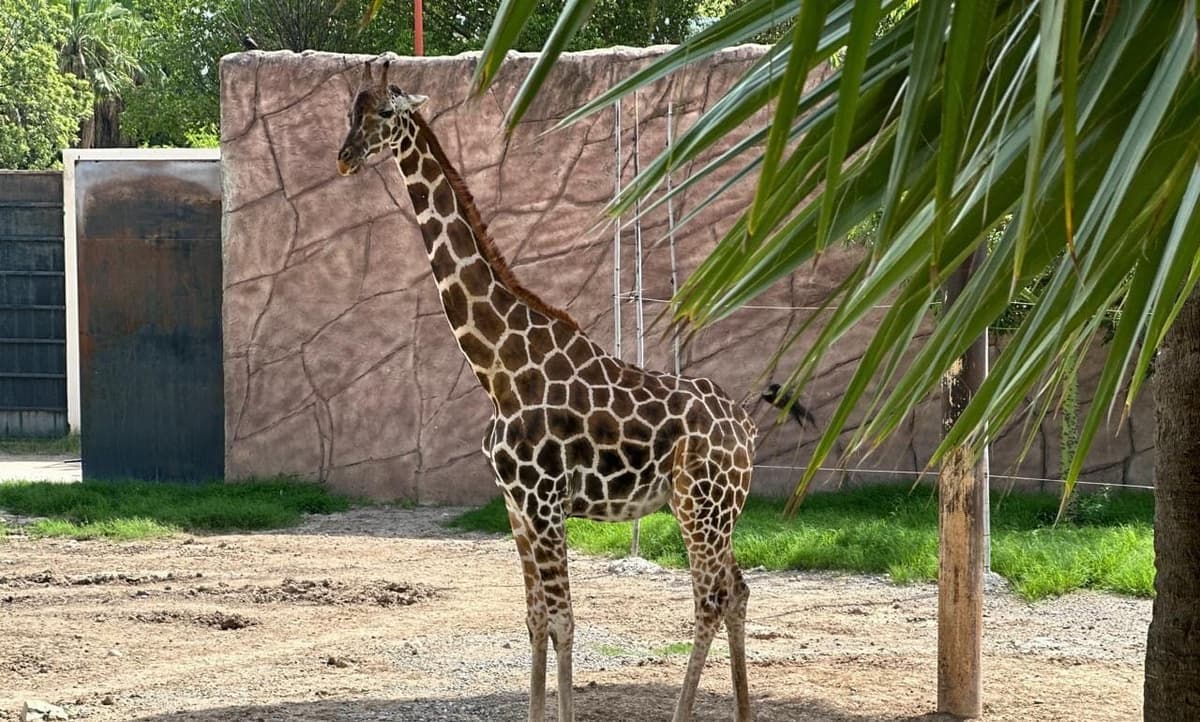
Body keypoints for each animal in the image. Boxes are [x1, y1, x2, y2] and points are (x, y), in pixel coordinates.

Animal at [335, 58, 757, 722]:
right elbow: (535, 620)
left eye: (383, 112)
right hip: (716, 510)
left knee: (711, 597)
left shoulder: (544, 501)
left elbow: (563, 622)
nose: (346, 157)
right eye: (348, 112)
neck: (499, 369)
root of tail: (747, 428)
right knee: (736, 589)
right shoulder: (515, 504)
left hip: (702, 507)